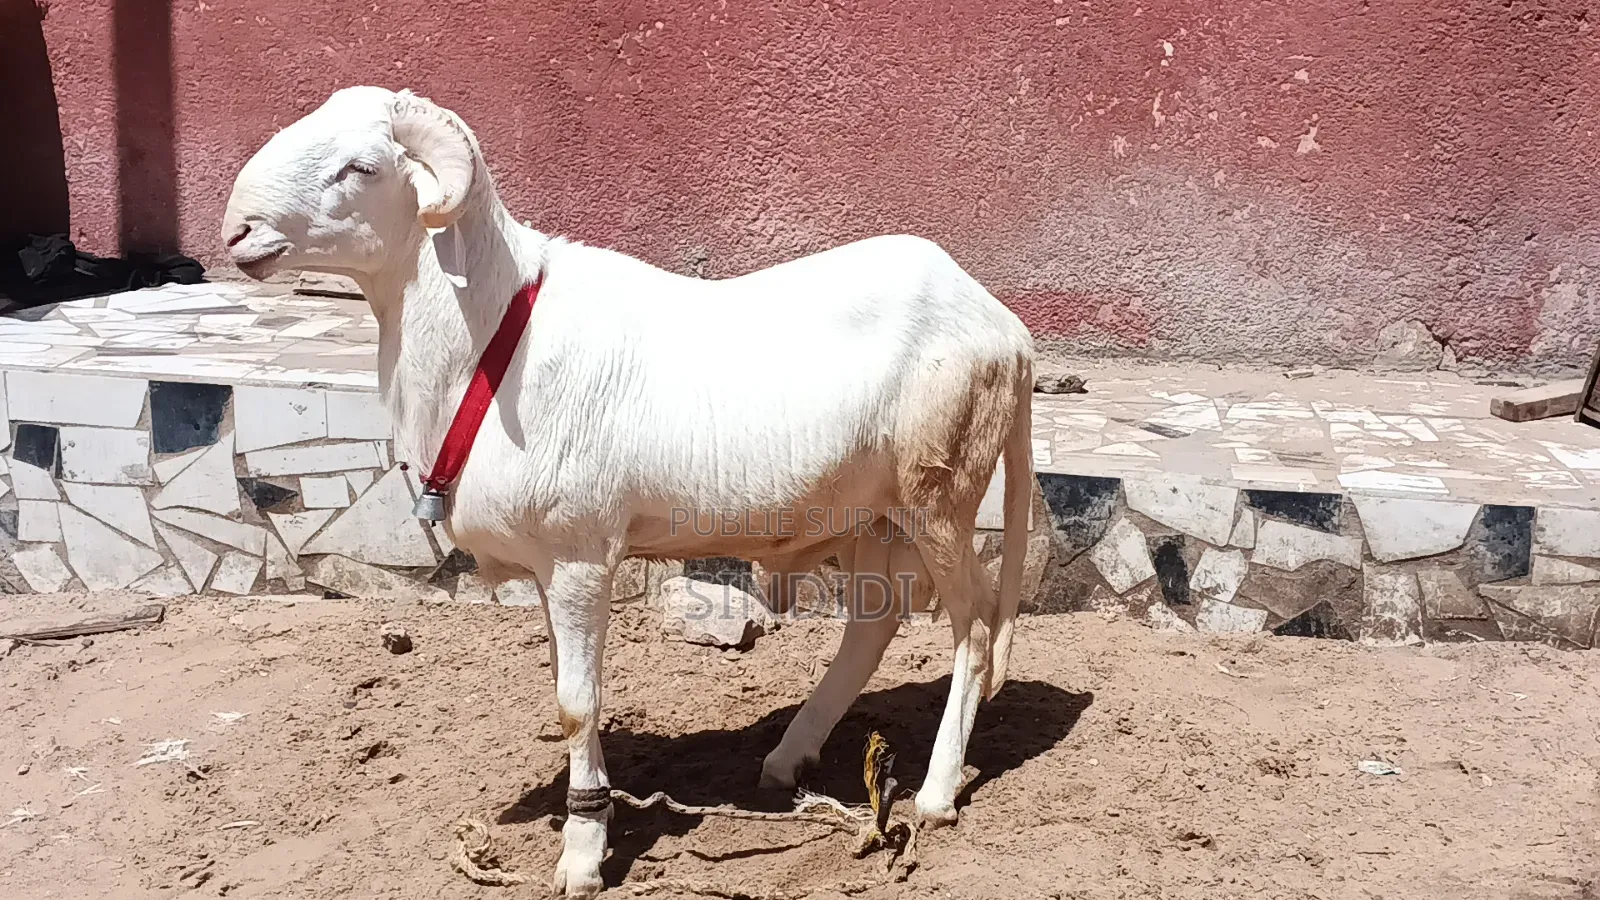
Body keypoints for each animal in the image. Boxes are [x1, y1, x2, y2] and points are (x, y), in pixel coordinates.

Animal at [221, 86, 1036, 898]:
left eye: (360, 167)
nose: (238, 232)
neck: (490, 342)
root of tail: (1006, 328)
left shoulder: (581, 556)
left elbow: (575, 706)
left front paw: (583, 851)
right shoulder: (547, 568)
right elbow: (564, 686)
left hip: (941, 491)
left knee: (972, 624)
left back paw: (935, 793)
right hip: (868, 511)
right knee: (876, 622)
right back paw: (786, 759)